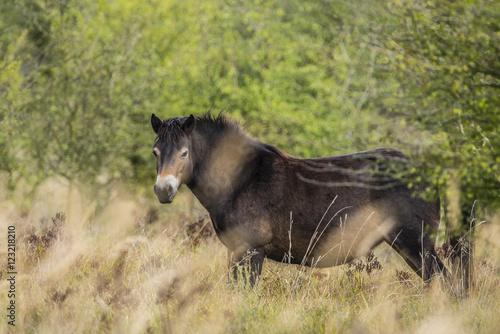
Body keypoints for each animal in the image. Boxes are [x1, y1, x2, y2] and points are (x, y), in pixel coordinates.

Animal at [150, 112, 448, 284]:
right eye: (155, 152)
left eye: (184, 152)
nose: (163, 190)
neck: (240, 178)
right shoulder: (234, 251)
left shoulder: (250, 250)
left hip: (416, 244)